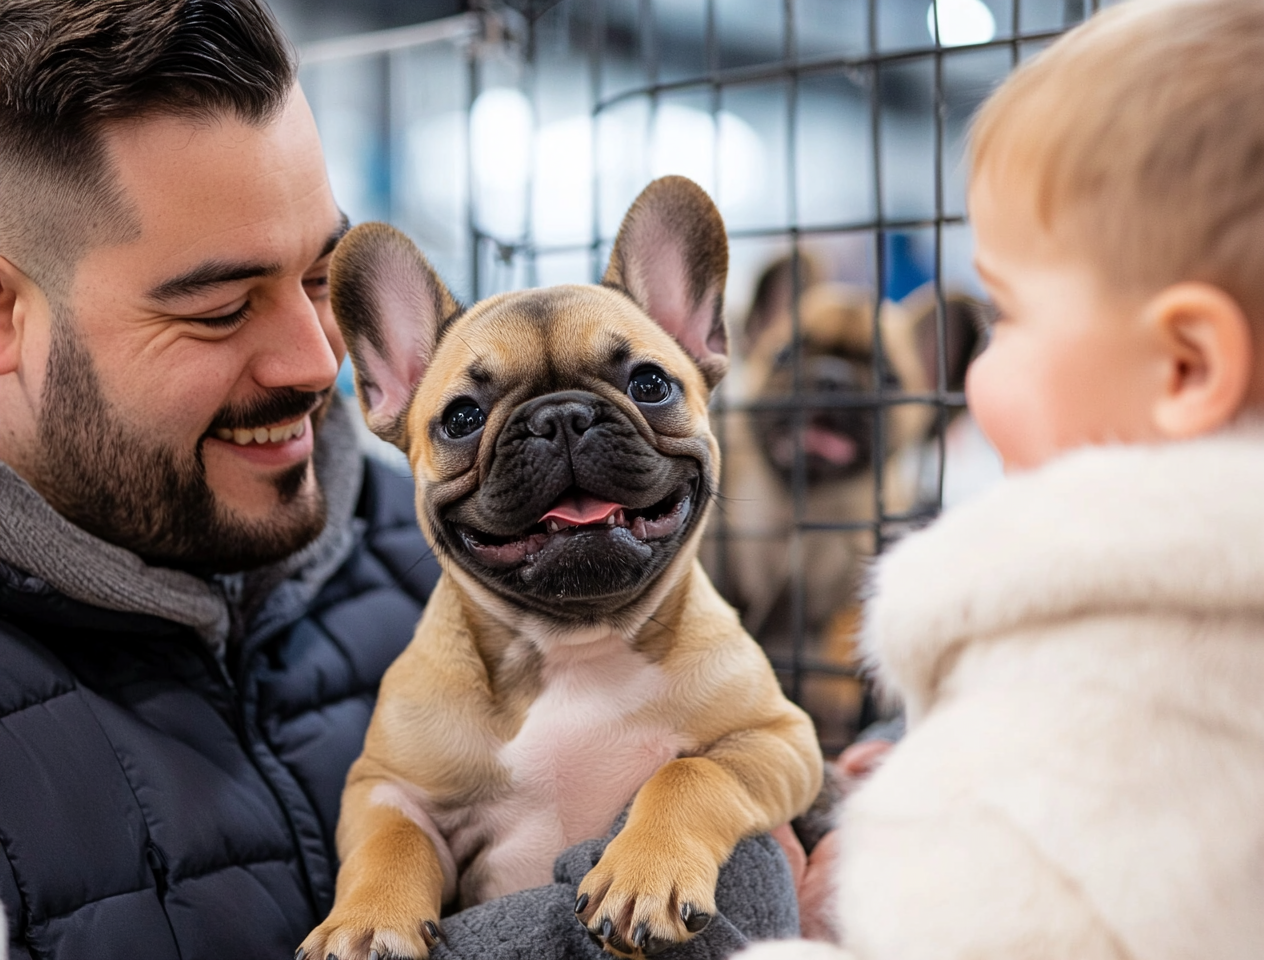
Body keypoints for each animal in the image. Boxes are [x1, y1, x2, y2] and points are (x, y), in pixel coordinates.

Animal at [300, 174, 824, 960]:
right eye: (461, 418)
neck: (576, 641)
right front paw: (366, 920)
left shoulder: (777, 738)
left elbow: (690, 770)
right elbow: (388, 841)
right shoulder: (386, 787)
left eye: (649, 383)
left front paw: (643, 872)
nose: (562, 416)